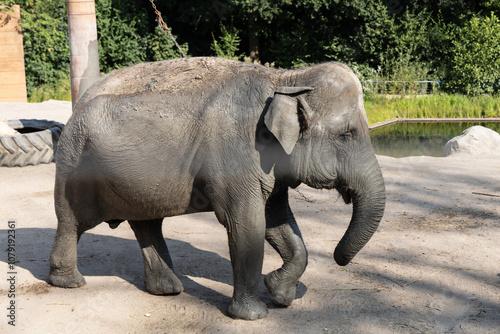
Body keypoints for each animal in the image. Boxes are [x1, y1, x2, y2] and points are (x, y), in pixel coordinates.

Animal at [48, 56, 386, 320]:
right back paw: (69, 283)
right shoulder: (236, 155)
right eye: (346, 135)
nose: (338, 257)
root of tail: (76, 105)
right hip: (73, 165)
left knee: (146, 224)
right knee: (72, 221)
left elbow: (278, 222)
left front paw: (279, 293)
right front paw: (254, 315)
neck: (286, 77)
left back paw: (168, 290)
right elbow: (247, 224)